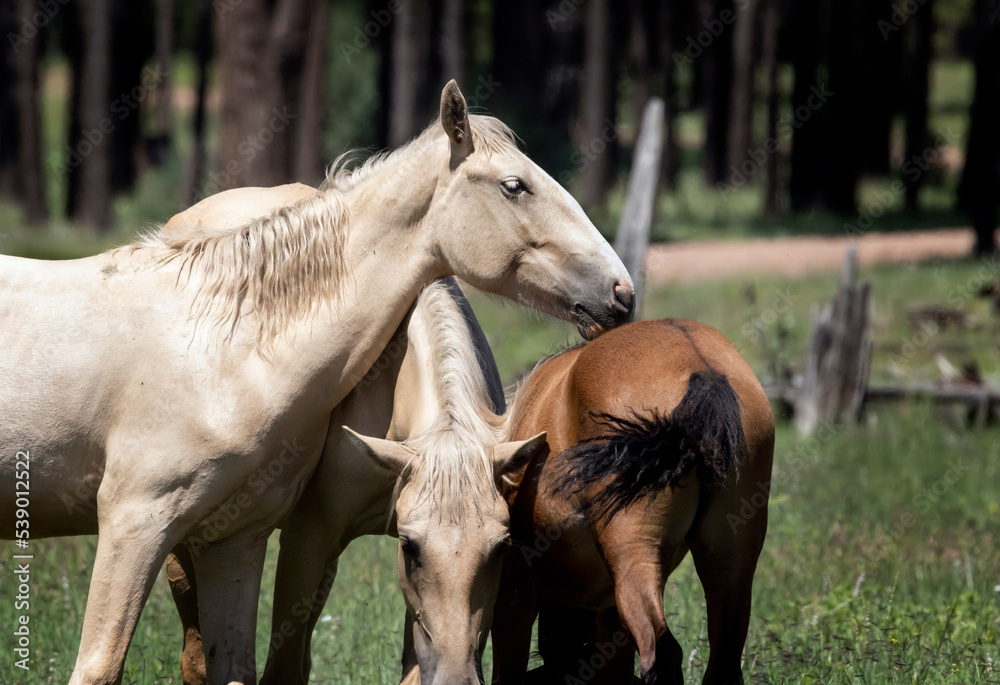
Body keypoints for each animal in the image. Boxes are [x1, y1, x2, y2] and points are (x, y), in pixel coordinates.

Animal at [0, 80, 633, 685]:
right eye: (514, 186)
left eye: (503, 548)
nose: (622, 292)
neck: (227, 345)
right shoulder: (169, 525)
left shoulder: (237, 537)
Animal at [491, 319, 774, 684]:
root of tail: (703, 371)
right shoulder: (605, 610)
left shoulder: (514, 593)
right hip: (730, 562)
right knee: (723, 664)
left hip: (634, 557)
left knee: (662, 652)